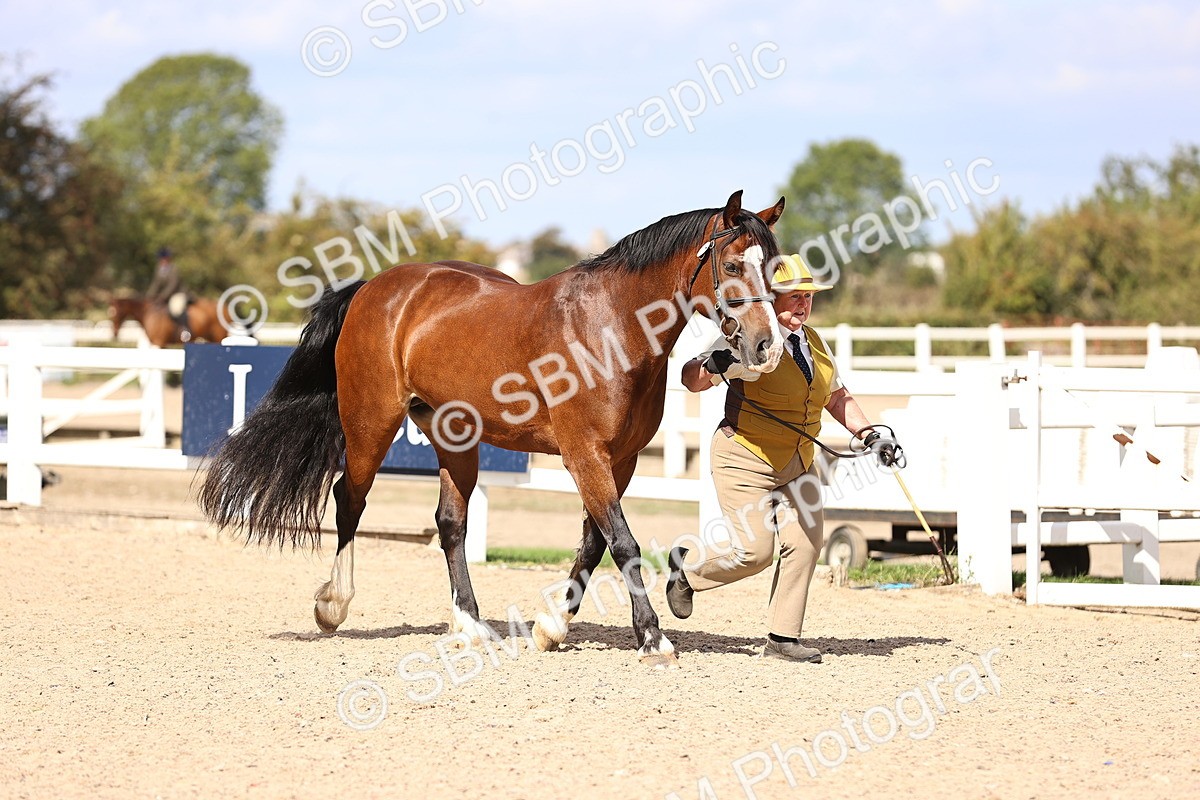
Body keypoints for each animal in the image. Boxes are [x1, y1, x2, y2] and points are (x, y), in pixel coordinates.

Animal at [198, 190, 786, 668]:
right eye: (733, 264)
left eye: (775, 267)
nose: (767, 346)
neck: (613, 328)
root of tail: (374, 289)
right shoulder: (585, 455)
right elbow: (622, 542)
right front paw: (653, 640)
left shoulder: (619, 459)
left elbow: (594, 541)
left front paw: (551, 628)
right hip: (370, 424)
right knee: (349, 499)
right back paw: (334, 606)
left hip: (452, 437)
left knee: (450, 523)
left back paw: (470, 624)